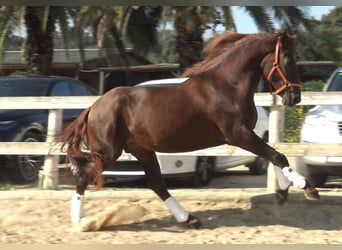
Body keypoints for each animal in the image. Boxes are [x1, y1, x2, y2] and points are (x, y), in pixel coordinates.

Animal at [60, 32, 320, 229]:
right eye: (289, 59)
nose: (295, 97)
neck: (227, 86)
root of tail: (93, 107)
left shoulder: (245, 135)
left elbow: (273, 154)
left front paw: (283, 192)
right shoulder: (237, 134)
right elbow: (277, 155)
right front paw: (307, 187)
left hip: (141, 150)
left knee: (157, 184)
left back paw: (189, 219)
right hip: (107, 152)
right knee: (83, 177)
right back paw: (79, 221)